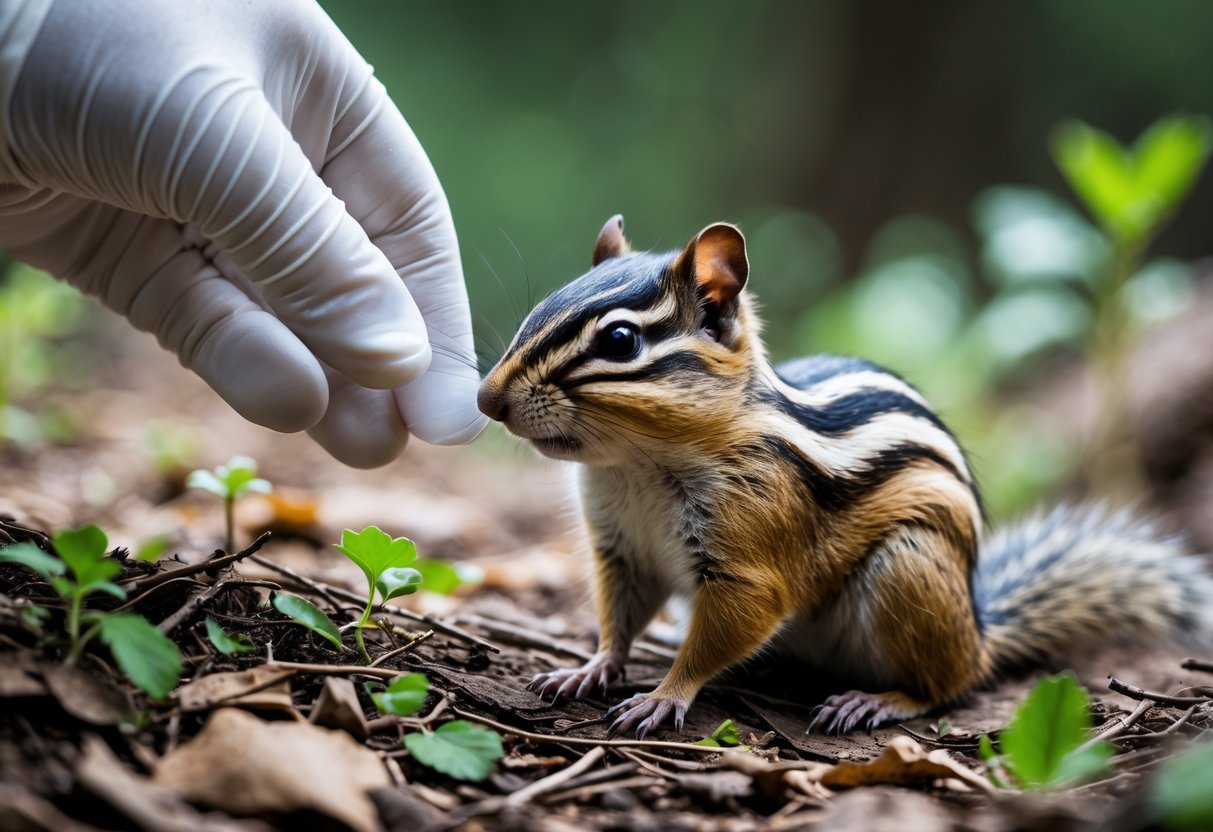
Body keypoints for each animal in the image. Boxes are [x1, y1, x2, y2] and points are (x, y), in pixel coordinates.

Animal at [476, 215, 1213, 738]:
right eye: (540, 308)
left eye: (620, 341)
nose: (487, 400)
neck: (636, 465)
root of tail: (978, 629)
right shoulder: (620, 549)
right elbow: (618, 617)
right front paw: (589, 667)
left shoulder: (749, 555)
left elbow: (728, 627)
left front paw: (662, 696)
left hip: (908, 571)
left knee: (944, 686)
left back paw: (875, 700)